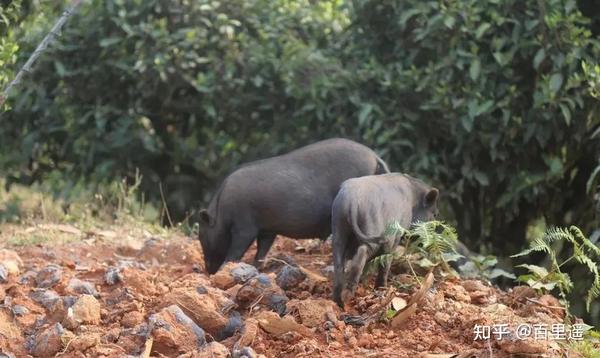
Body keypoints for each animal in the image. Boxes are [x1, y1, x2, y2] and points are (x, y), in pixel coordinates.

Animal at [199, 138, 392, 274]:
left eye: (203, 237)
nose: (209, 271)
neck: (221, 211)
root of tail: (374, 156)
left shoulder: (245, 226)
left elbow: (236, 251)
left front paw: (225, 269)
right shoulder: (267, 230)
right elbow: (261, 252)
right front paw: (256, 269)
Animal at [330, 172, 438, 306]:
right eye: (434, 214)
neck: (413, 199)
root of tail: (352, 201)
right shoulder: (395, 235)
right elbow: (386, 260)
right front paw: (382, 288)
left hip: (338, 227)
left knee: (338, 262)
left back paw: (337, 301)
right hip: (371, 226)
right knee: (362, 254)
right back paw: (348, 295)